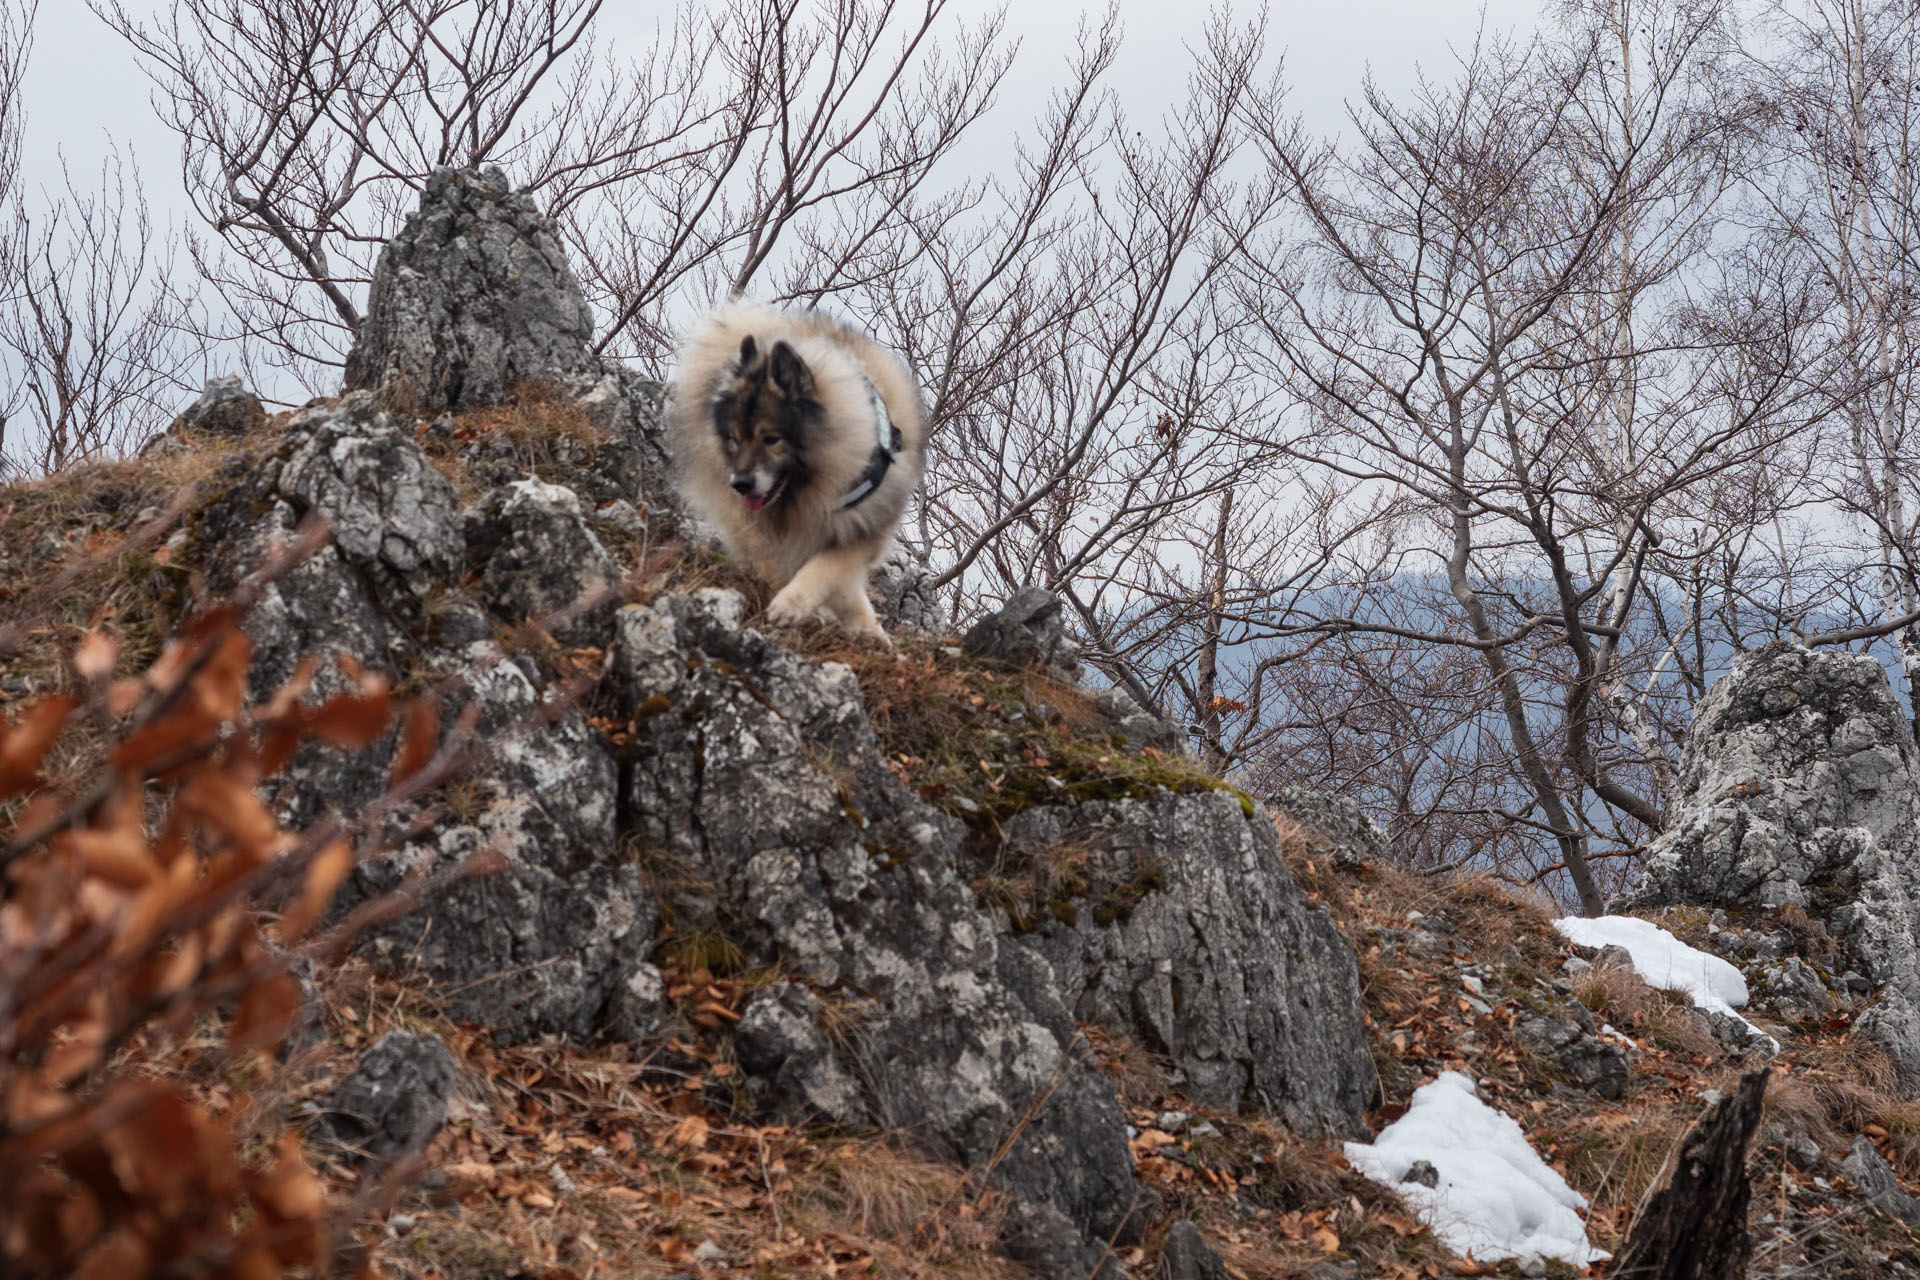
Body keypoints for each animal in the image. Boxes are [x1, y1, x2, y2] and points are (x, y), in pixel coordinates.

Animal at [664, 297, 925, 640]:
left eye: (771, 439)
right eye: (733, 438)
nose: (740, 484)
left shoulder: (862, 527)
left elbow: (828, 567)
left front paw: (798, 604)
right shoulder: (759, 525)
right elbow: (783, 564)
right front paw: (799, 605)